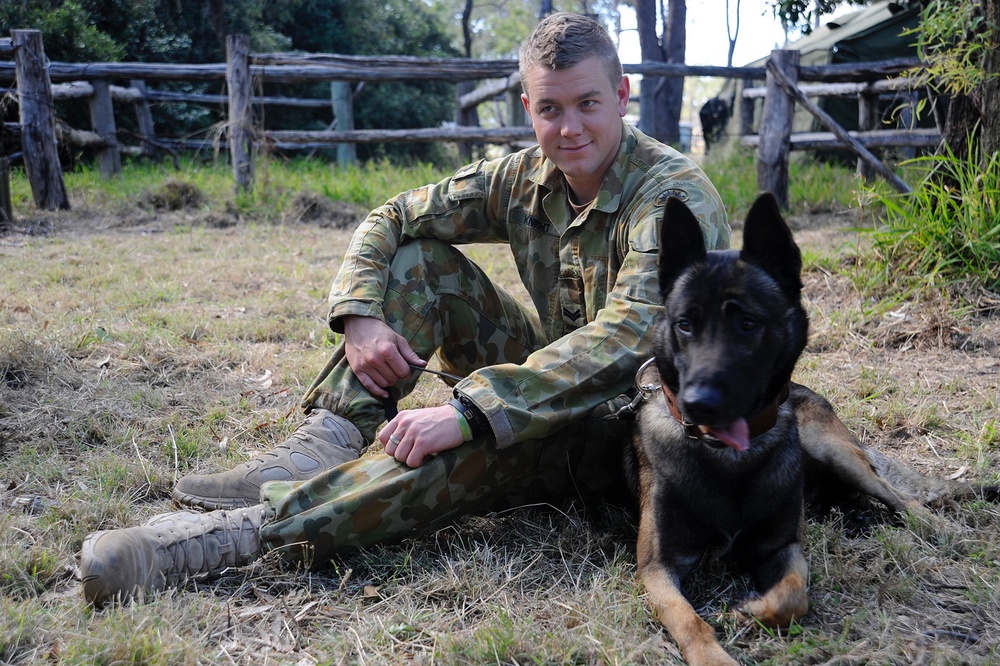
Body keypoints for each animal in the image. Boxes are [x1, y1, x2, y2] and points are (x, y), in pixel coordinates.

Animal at [628, 189, 996, 660]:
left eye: (747, 323)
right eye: (685, 324)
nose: (699, 404)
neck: (730, 461)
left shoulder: (785, 549)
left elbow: (793, 595)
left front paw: (751, 611)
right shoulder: (658, 569)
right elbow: (691, 621)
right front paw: (717, 656)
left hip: (833, 450)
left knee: (903, 498)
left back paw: (940, 528)